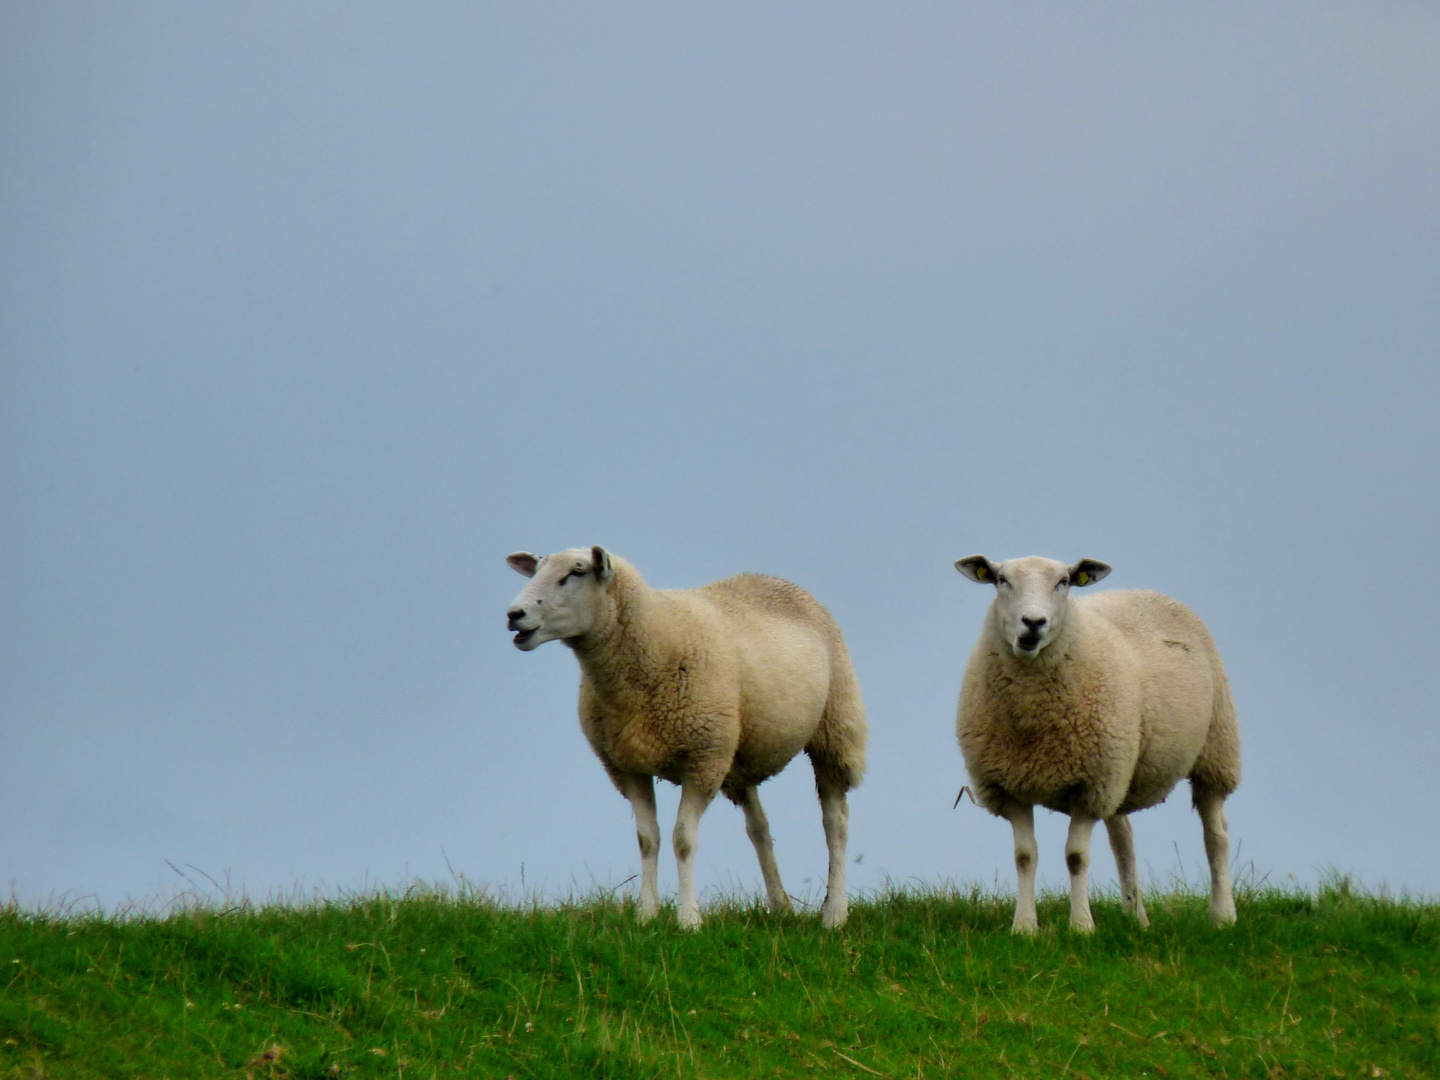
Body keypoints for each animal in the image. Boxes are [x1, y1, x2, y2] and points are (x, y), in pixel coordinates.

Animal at [506, 550, 864, 933]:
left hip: (833, 727)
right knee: (759, 827)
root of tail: (776, 580)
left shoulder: (701, 760)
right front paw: (646, 914)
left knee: (835, 822)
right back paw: (781, 906)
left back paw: (834, 913)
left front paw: (689, 919)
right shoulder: (627, 765)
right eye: (537, 570)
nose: (514, 615)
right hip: (736, 751)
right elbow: (647, 839)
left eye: (576, 573)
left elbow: (683, 840)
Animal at [950, 552, 1244, 933]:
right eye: (1001, 580)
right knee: (1124, 839)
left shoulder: (1090, 786)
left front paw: (1081, 926)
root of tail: (1148, 592)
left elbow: (1076, 857)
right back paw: (1137, 917)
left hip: (1215, 747)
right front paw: (1025, 927)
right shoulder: (1009, 787)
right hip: (1121, 769)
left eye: (1064, 582)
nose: (1034, 623)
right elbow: (1024, 857)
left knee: (1216, 835)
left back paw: (1223, 915)